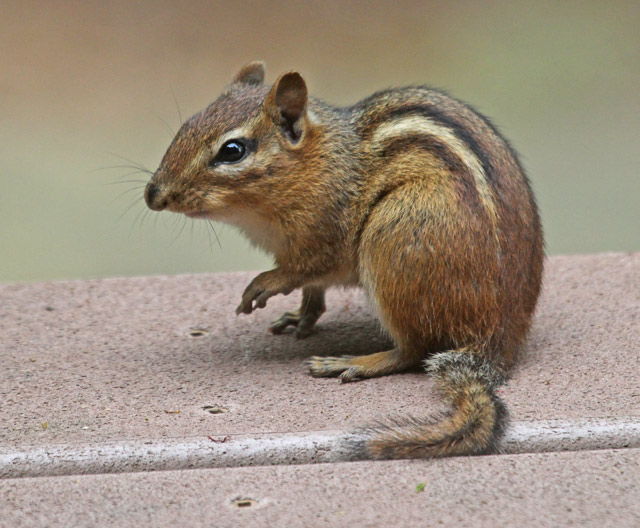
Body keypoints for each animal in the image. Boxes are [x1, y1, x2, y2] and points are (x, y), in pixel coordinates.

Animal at [144, 61, 544, 459]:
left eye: (232, 150)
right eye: (188, 126)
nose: (153, 195)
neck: (318, 163)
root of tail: (494, 345)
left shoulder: (329, 236)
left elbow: (303, 270)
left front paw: (263, 285)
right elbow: (312, 289)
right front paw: (301, 315)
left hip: (395, 237)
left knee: (413, 350)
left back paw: (356, 362)